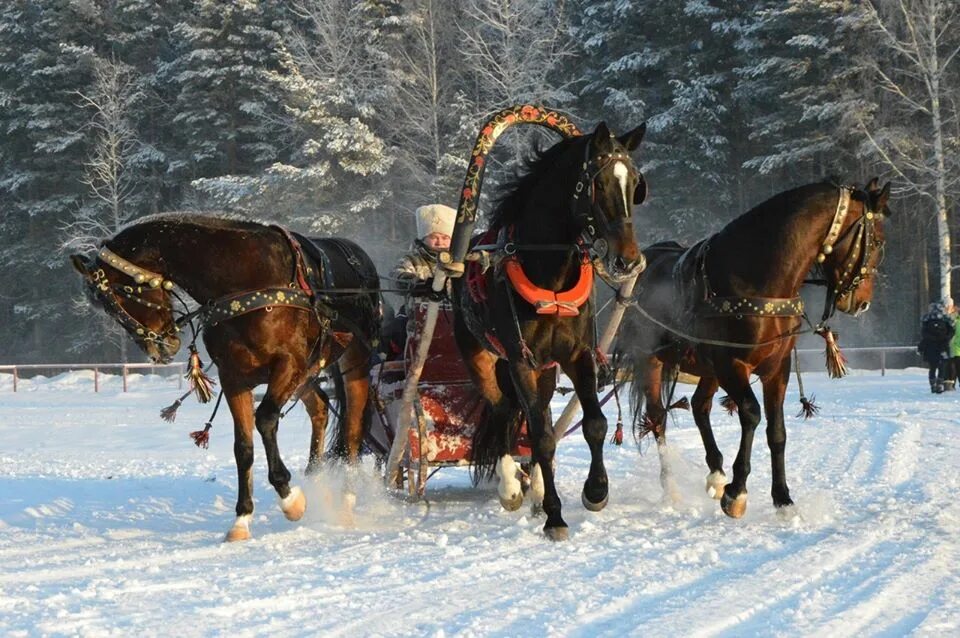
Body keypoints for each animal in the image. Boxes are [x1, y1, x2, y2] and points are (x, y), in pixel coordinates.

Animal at [70, 218, 378, 544]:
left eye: (123, 293)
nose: (160, 349)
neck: (243, 279)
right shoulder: (234, 377)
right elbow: (243, 447)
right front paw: (242, 518)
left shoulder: (288, 363)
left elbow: (265, 419)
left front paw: (290, 498)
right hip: (306, 374)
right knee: (319, 407)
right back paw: (318, 481)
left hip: (352, 363)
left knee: (353, 428)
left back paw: (346, 500)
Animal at [454, 122, 648, 544]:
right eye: (597, 184)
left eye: (635, 184)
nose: (627, 260)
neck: (551, 275)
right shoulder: (521, 361)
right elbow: (540, 437)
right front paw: (555, 515)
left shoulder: (576, 356)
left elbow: (594, 423)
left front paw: (595, 491)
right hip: (484, 359)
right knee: (504, 412)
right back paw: (512, 487)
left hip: (545, 370)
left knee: (534, 414)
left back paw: (538, 489)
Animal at [624, 179, 892, 520]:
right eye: (879, 241)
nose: (862, 303)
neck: (757, 280)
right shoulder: (731, 363)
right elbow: (751, 413)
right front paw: (736, 492)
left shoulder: (777, 368)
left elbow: (777, 432)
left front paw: (783, 498)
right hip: (651, 360)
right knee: (657, 418)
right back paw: (671, 487)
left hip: (708, 368)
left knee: (699, 406)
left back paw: (715, 473)